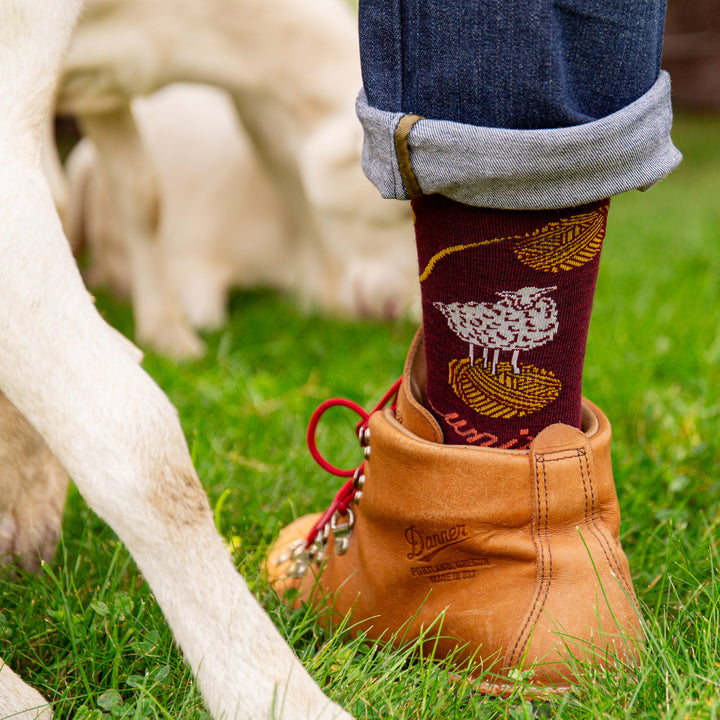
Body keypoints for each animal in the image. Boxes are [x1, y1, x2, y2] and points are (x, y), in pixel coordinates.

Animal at [50, 0, 420, 358]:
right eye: (401, 210)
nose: (394, 308)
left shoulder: (107, 82)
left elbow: (141, 196)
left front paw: (166, 334)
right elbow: (56, 202)